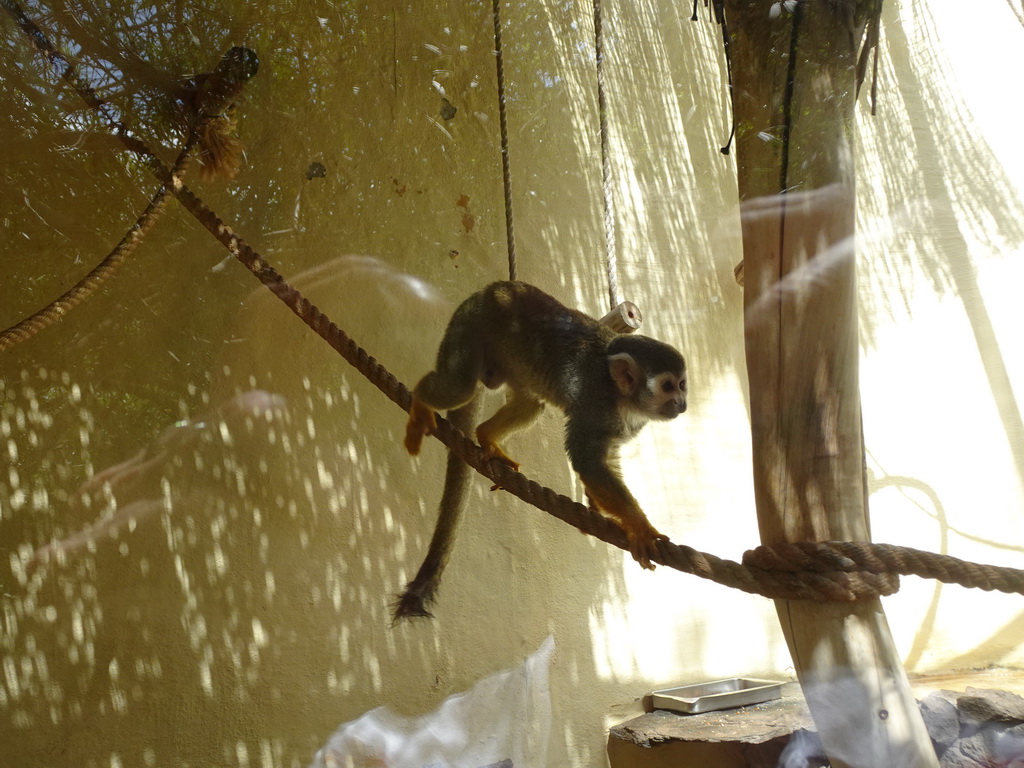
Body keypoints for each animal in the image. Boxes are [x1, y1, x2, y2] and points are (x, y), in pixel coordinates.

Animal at [399, 280, 688, 618]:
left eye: (682, 385)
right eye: (668, 386)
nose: (681, 403)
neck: (622, 396)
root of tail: (490, 290)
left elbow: (604, 458)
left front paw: (601, 508)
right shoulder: (595, 403)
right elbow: (587, 460)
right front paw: (640, 527)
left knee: (531, 403)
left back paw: (486, 437)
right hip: (469, 326)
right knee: (460, 387)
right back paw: (421, 401)